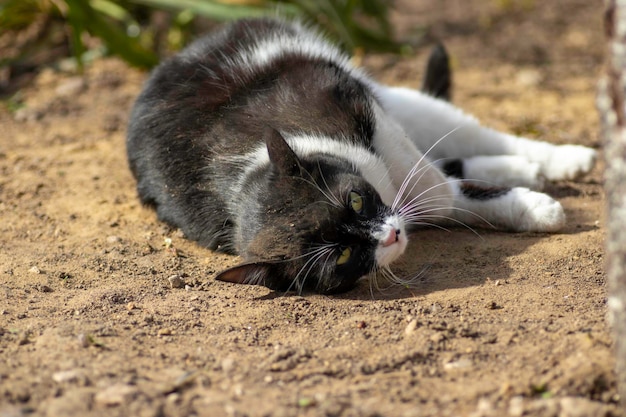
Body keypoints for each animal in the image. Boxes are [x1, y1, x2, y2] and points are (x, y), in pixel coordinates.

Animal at [127, 17, 596, 294]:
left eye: (354, 199)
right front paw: (525, 206)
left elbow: (429, 183)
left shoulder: (342, 95)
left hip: (384, 94)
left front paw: (536, 208)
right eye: (343, 257)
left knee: (459, 132)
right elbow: (448, 197)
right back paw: (522, 171)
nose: (389, 235)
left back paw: (564, 159)